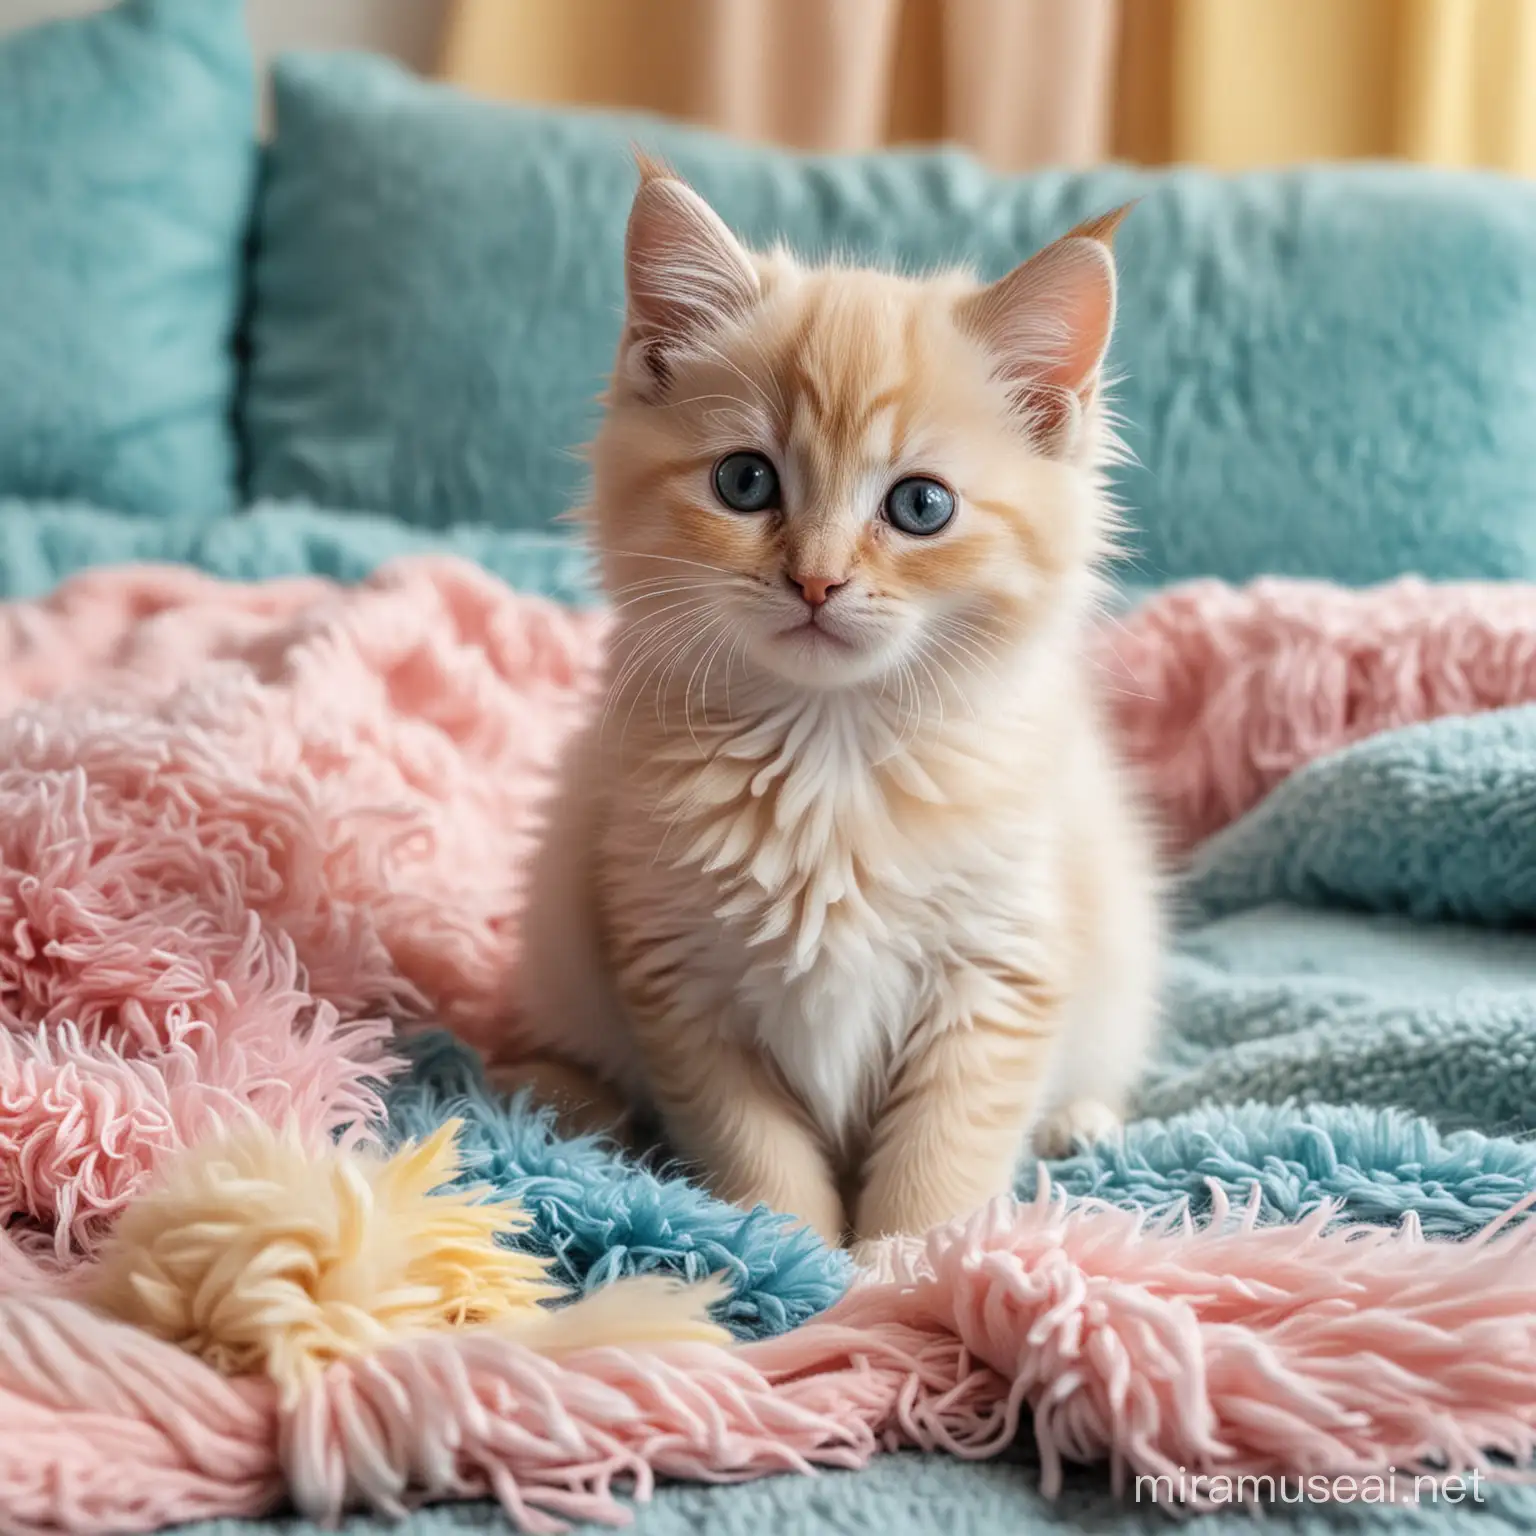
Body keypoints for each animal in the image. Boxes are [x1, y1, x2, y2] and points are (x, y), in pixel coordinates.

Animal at [497, 162, 1155, 1253]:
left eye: (921, 507)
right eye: (745, 481)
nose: (815, 580)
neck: (830, 754)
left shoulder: (1000, 969)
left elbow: (943, 1154)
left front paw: (910, 1264)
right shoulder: (679, 978)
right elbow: (758, 1153)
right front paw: (790, 1256)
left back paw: (1081, 1122)